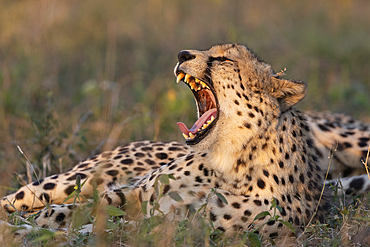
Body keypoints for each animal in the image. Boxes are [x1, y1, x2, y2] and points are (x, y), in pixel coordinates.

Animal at [0, 44, 370, 239]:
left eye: (224, 59)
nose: (182, 53)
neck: (229, 160)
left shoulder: (179, 226)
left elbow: (98, 227)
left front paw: (35, 232)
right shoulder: (137, 194)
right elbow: (77, 210)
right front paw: (33, 227)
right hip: (75, 177)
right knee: (23, 197)